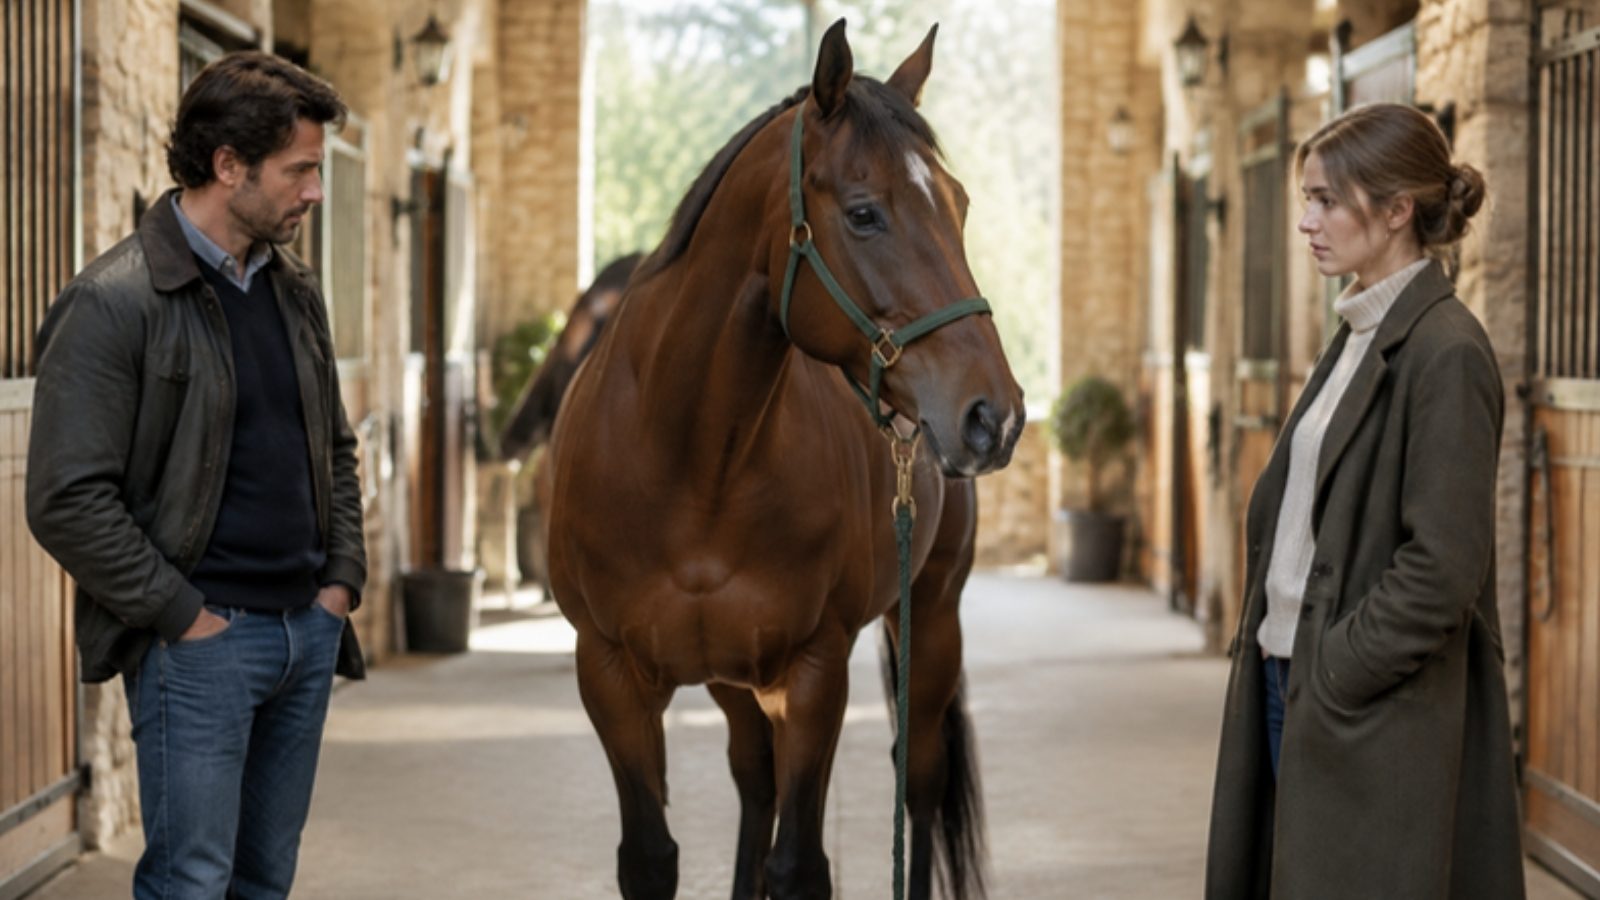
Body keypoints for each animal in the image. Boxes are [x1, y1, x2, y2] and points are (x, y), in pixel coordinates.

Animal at [546, 20, 1024, 900]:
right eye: (865, 214)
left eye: (961, 205)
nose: (994, 415)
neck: (692, 462)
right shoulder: (609, 674)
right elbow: (652, 856)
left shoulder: (814, 670)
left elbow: (800, 862)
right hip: (736, 679)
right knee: (754, 779)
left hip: (930, 617)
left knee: (919, 781)